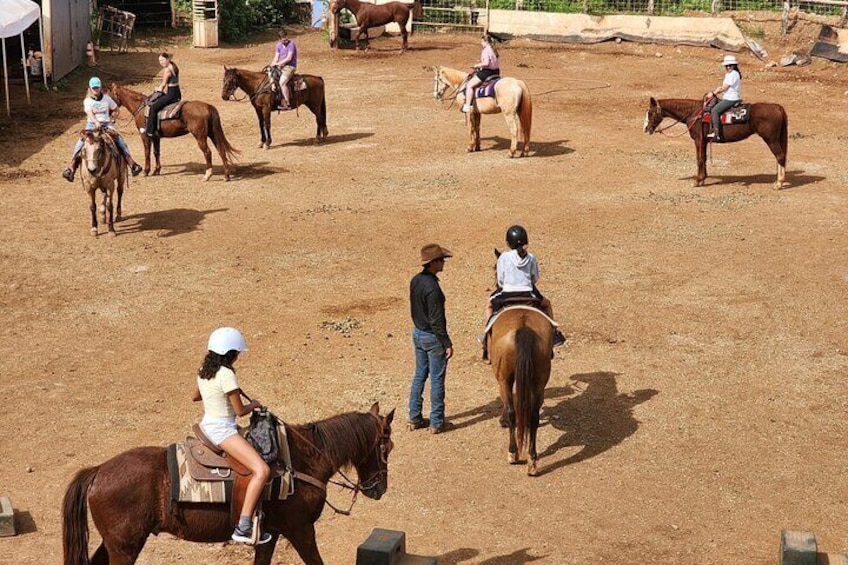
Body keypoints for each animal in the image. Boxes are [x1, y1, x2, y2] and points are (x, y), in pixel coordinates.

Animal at [486, 306, 552, 474]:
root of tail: (523, 329)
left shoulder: (503, 380)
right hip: (539, 382)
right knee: (534, 416)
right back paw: (532, 460)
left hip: (504, 379)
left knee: (512, 412)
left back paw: (513, 453)